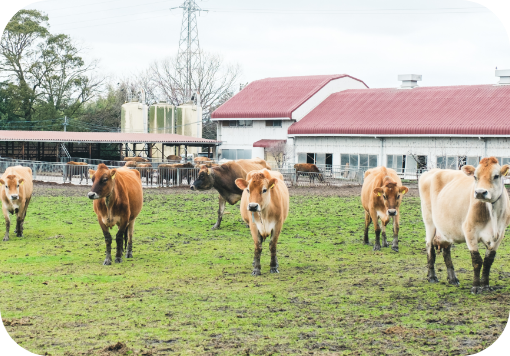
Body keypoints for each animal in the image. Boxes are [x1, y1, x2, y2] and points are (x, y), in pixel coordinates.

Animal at [418, 157, 510, 294]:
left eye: (496, 176)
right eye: (475, 177)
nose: (480, 192)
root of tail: (434, 171)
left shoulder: (500, 234)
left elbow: (488, 261)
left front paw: (486, 285)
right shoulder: (470, 231)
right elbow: (477, 261)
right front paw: (476, 287)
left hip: (447, 228)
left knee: (446, 251)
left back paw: (452, 278)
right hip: (429, 221)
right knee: (430, 248)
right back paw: (432, 276)